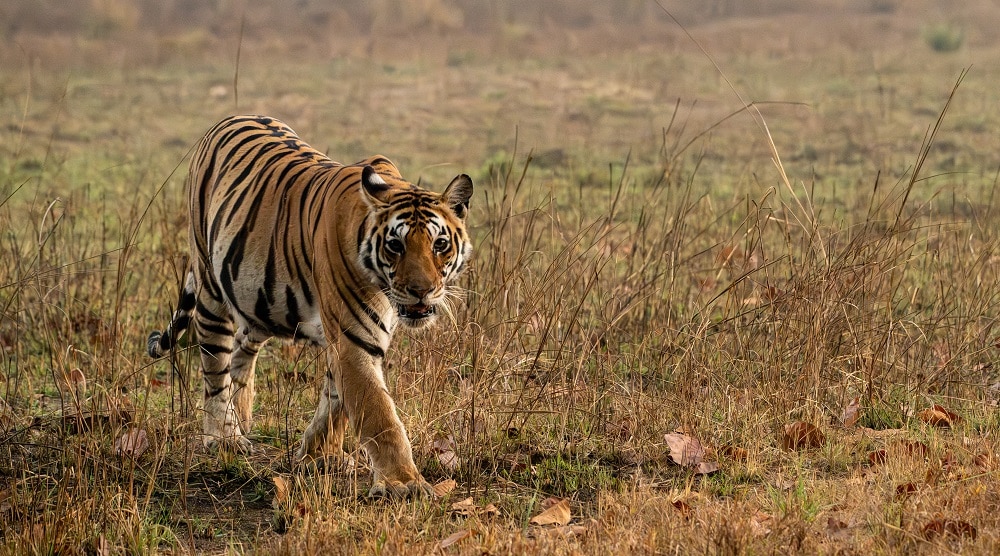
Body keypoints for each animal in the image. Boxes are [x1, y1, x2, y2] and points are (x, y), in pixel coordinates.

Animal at [147, 115, 473, 498]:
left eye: (440, 244)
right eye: (395, 245)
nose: (422, 291)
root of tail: (229, 119)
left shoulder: (349, 338)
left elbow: (336, 403)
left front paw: (320, 456)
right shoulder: (352, 339)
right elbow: (379, 414)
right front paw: (404, 483)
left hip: (259, 301)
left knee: (243, 348)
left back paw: (241, 414)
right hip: (210, 285)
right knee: (215, 366)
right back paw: (224, 437)